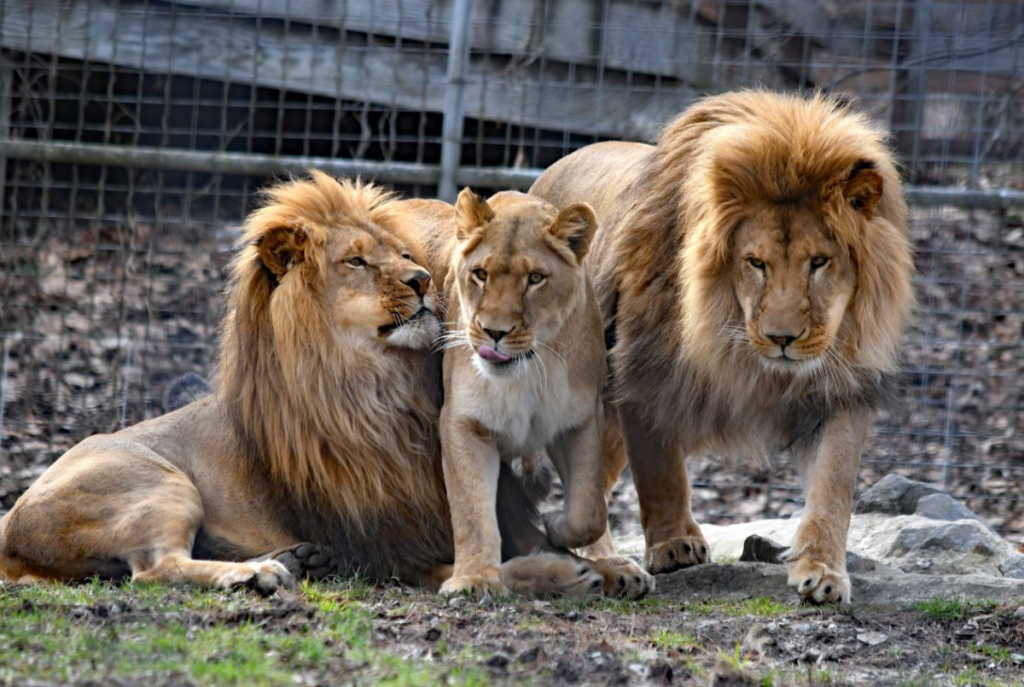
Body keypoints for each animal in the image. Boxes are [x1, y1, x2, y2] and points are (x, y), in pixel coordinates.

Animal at [0, 172, 615, 596]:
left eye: (406, 255)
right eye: (357, 262)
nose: (422, 280)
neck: (376, 384)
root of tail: (10, 523)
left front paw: (601, 565)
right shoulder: (384, 547)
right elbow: (486, 563)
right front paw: (561, 573)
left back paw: (294, 561)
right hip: (161, 486)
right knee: (153, 569)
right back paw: (254, 574)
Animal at [419, 189, 654, 599]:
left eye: (535, 279)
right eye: (480, 274)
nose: (494, 332)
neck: (528, 374)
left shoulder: (579, 421)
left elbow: (588, 510)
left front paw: (556, 525)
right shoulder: (463, 422)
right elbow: (471, 509)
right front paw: (474, 578)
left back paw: (614, 568)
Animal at [530, 91, 914, 604]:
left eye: (819, 262)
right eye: (755, 263)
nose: (783, 338)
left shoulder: (840, 386)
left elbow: (833, 485)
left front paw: (823, 571)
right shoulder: (643, 373)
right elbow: (659, 471)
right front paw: (675, 545)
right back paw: (607, 563)